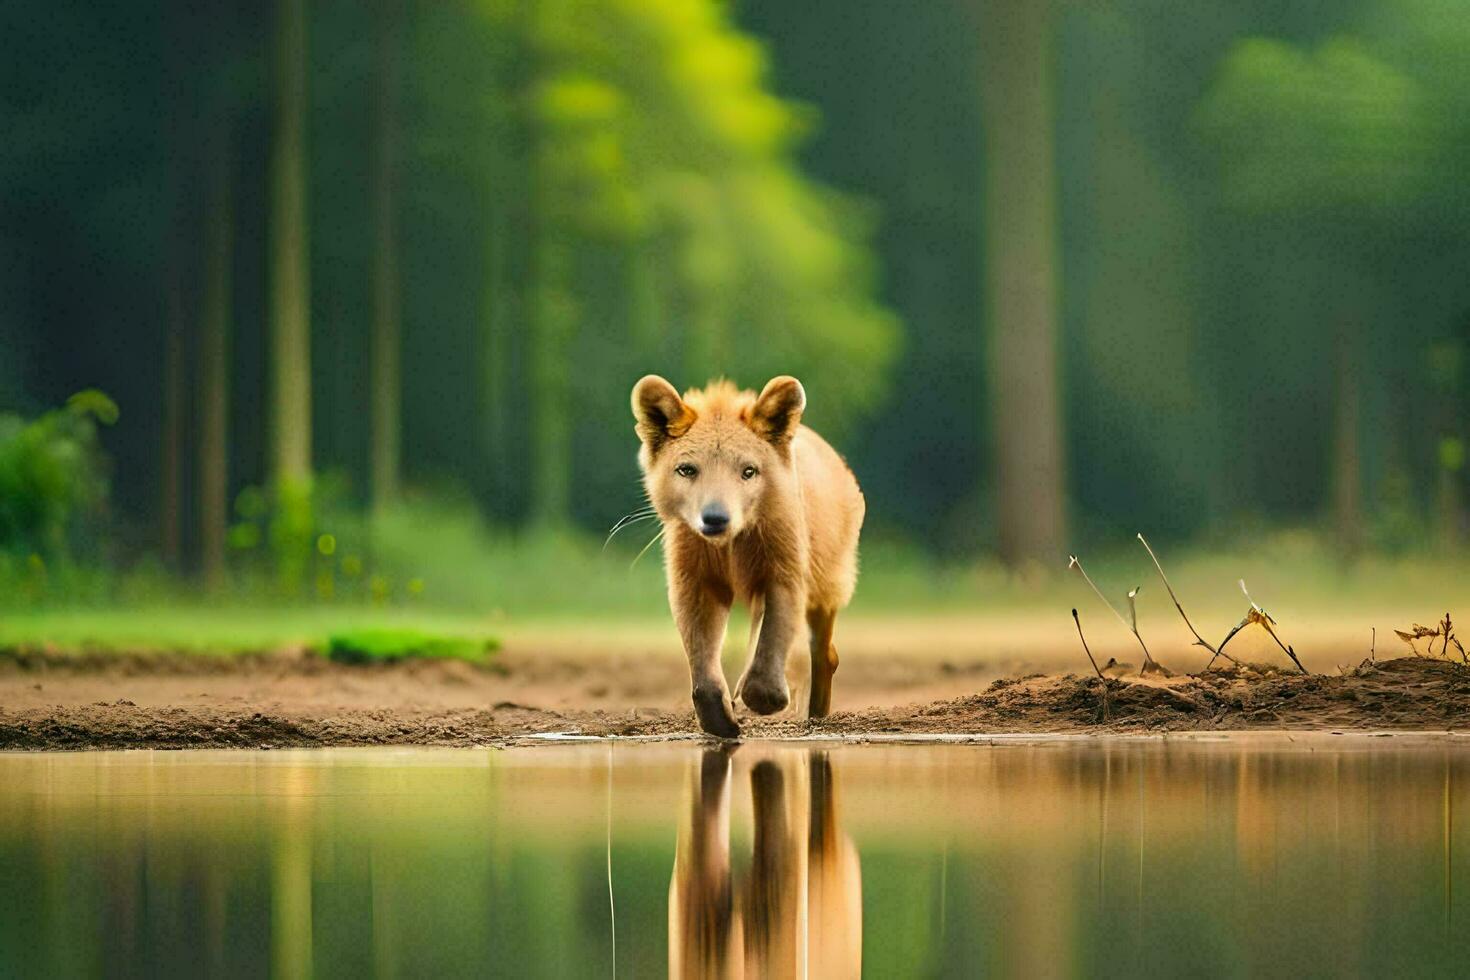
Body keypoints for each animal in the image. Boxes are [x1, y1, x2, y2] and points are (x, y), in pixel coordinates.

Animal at [629, 376, 858, 734]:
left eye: (748, 471)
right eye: (686, 469)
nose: (715, 517)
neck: (731, 548)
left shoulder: (783, 571)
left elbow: (772, 637)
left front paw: (764, 699)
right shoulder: (695, 580)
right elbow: (702, 657)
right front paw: (721, 720)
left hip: (828, 582)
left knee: (824, 652)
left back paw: (816, 712)